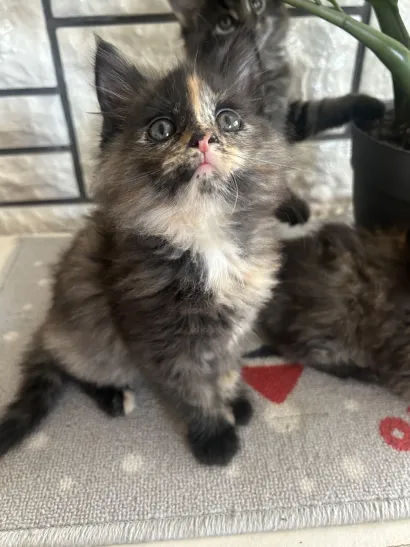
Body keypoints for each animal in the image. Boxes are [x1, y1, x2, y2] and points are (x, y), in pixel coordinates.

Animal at [0, 33, 289, 466]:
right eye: (162, 129)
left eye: (228, 121)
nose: (203, 138)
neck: (203, 227)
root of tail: (49, 324)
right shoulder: (161, 336)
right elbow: (193, 387)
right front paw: (214, 435)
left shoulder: (233, 322)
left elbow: (224, 364)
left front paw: (233, 399)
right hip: (94, 334)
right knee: (74, 365)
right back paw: (114, 397)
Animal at [169, 0, 386, 224]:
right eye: (225, 22)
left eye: (257, 4)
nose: (252, 23)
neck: (261, 72)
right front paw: (288, 205)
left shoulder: (284, 118)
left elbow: (320, 110)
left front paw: (368, 104)